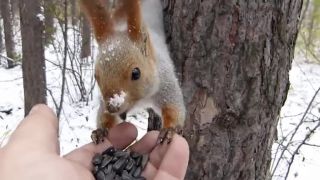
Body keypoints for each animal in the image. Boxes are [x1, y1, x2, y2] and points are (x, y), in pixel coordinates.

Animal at [80, 0, 185, 143]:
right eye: (96, 76)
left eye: (136, 73)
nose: (113, 106)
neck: (139, 100)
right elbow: (105, 115)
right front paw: (101, 131)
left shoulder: (165, 83)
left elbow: (173, 106)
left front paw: (170, 129)